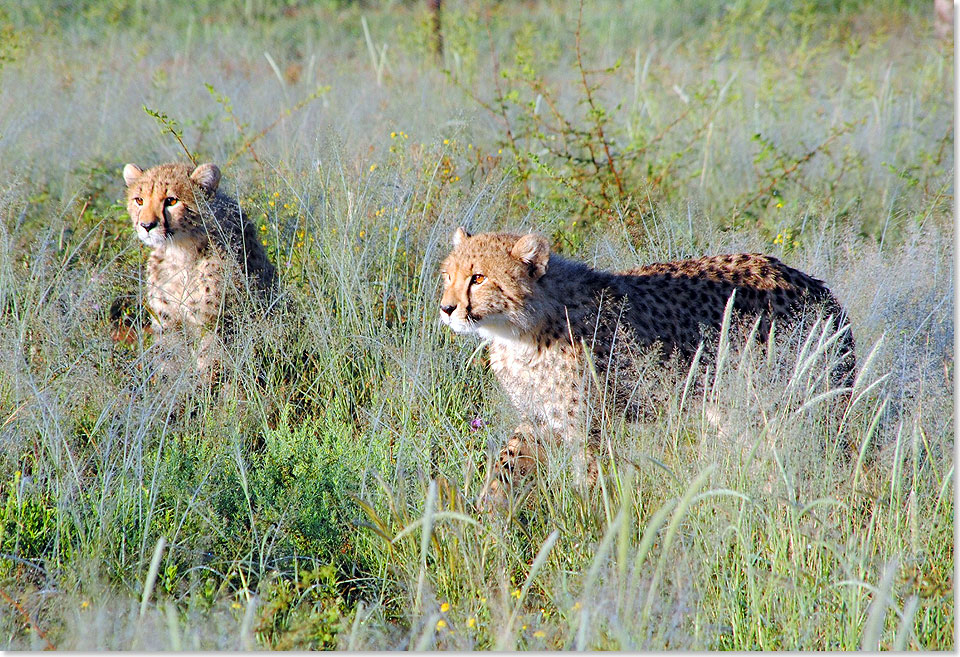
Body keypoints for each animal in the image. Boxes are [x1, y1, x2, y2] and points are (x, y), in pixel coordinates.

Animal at [122, 160, 276, 380]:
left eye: (171, 201)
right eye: (139, 200)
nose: (146, 225)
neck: (179, 251)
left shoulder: (214, 323)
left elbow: (210, 364)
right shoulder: (168, 323)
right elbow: (169, 362)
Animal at [438, 228, 860, 504]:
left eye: (478, 278)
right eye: (449, 276)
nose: (446, 308)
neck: (522, 330)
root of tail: (813, 284)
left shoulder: (592, 422)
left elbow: (589, 476)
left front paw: (591, 522)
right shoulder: (540, 416)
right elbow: (507, 463)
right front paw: (486, 511)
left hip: (759, 403)